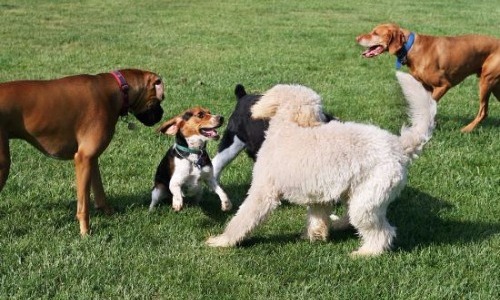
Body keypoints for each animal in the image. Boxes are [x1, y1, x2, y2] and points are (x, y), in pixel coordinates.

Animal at [205, 71, 436, 256]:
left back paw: (366, 253)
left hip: (366, 201)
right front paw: (314, 235)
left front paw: (222, 241)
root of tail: (398, 145)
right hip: (358, 194)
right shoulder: (319, 193)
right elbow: (317, 216)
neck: (288, 126)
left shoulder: (263, 192)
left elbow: (242, 219)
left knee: (383, 232)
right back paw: (339, 224)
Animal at [358, 25, 500, 133]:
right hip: (494, 87)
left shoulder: (444, 85)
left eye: (375, 33)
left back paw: (466, 129)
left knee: (483, 112)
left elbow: (428, 105)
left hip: (486, 82)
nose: (357, 38)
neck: (411, 47)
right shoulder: (426, 86)